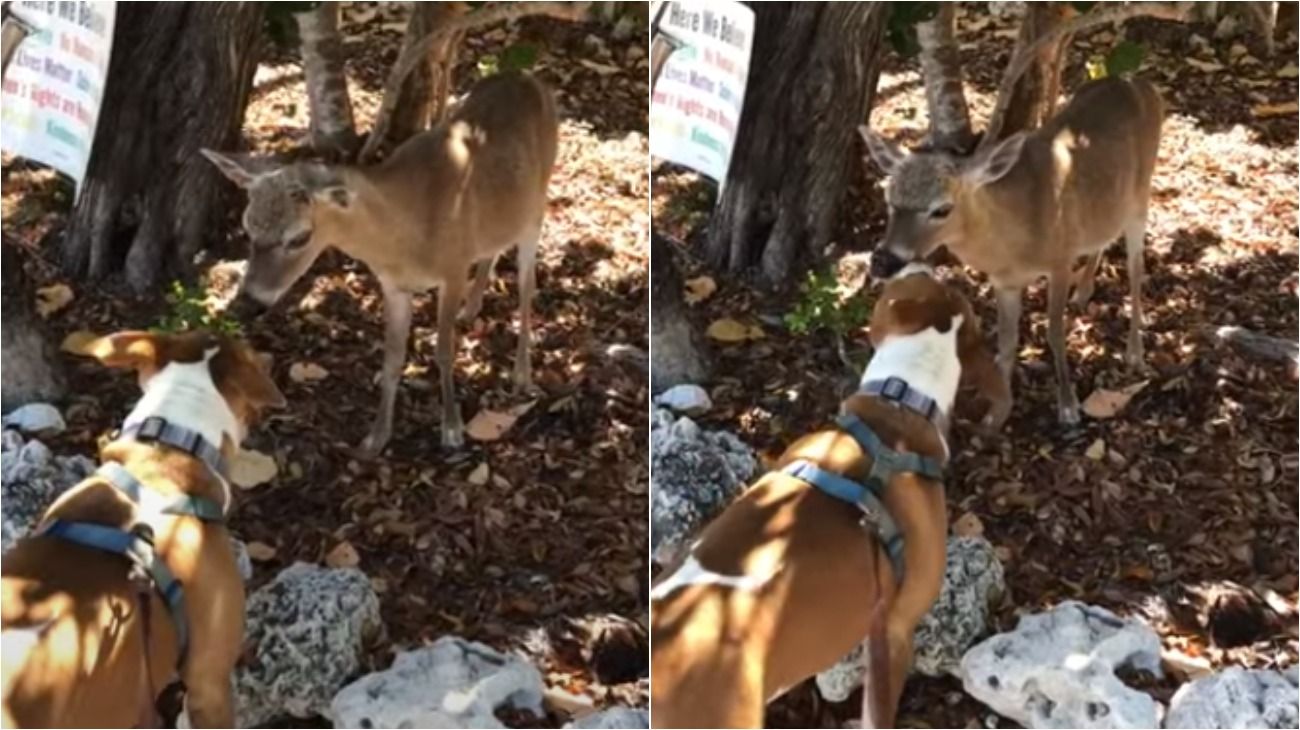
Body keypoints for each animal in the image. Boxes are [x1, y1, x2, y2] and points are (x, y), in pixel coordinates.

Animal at [203, 71, 559, 455]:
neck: (407, 234)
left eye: (299, 237)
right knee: (493, 247)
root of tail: (529, 78)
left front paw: (452, 429)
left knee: (527, 286)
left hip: (537, 208)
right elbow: (391, 358)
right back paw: (471, 309)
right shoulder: (393, 285)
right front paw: (376, 437)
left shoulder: (452, 268)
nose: (250, 300)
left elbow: (443, 350)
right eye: (247, 227)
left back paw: (522, 372)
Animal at [859, 76, 1164, 426]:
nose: (884, 261)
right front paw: (997, 410)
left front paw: (1068, 406)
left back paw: (1135, 351)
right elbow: (1006, 343)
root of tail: (1139, 83)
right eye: (889, 198)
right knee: (1102, 238)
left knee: (1136, 269)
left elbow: (1054, 333)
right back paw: (1084, 292)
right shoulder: (1004, 281)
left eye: (942, 209)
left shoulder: (1060, 260)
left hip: (1141, 197)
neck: (1014, 243)